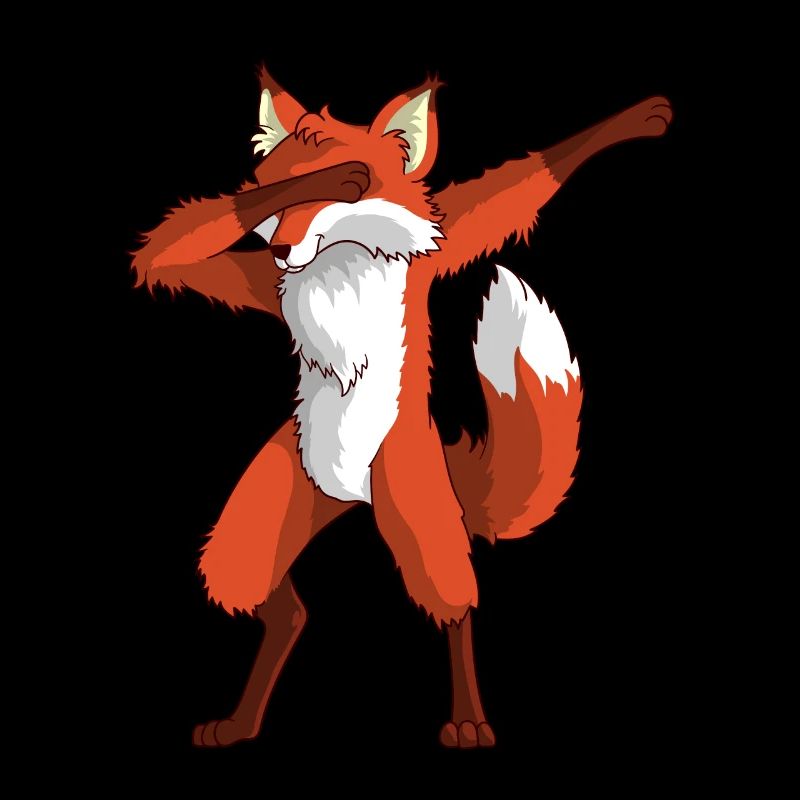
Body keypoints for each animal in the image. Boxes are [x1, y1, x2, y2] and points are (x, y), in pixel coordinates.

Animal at [133, 65, 672, 749]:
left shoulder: (440, 249)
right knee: (274, 599)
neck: (340, 270)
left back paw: (468, 720)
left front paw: (639, 118)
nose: (282, 251)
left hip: (412, 495)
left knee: (453, 605)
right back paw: (242, 719)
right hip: (276, 494)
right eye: (275, 199)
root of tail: (350, 494)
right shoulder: (256, 284)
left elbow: (518, 186)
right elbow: (164, 252)